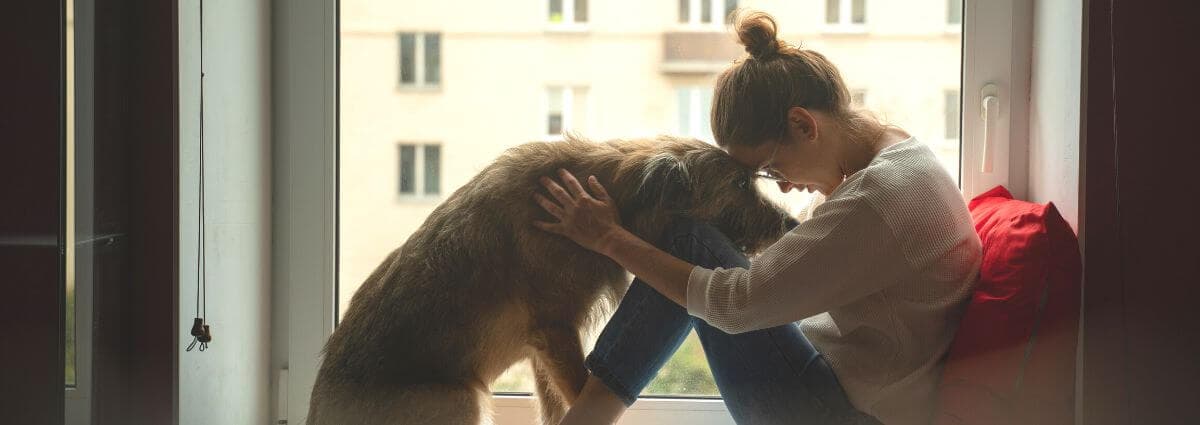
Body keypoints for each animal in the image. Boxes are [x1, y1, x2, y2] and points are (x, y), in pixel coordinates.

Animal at [307, 136, 796, 425]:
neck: (614, 191)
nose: (792, 224)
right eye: (738, 184)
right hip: (462, 399)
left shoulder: (546, 345)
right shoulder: (557, 329)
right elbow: (577, 390)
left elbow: (557, 404)